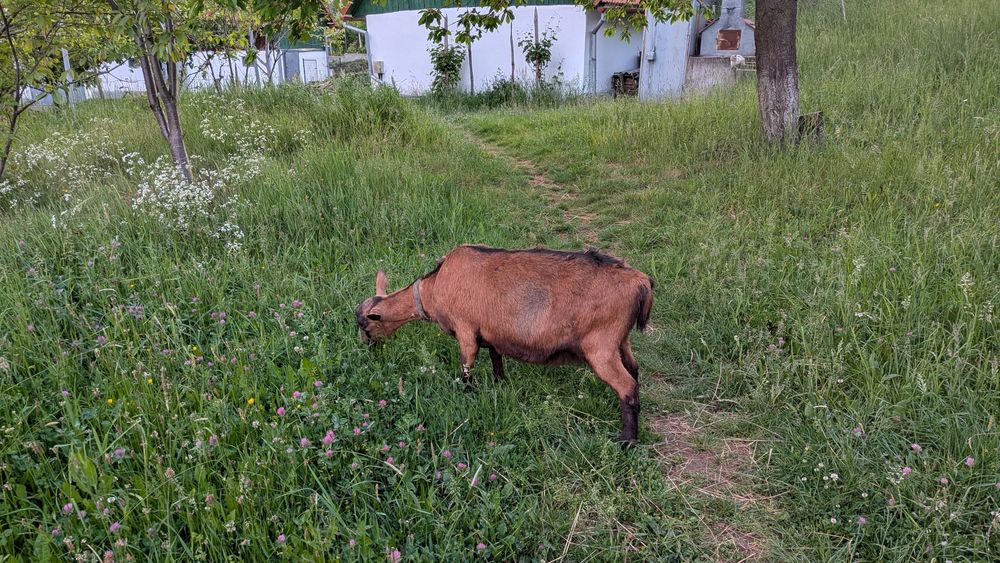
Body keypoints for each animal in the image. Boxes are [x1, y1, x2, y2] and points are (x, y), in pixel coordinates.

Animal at [355, 245, 654, 444]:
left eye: (364, 325)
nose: (368, 349)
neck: (435, 287)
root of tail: (640, 282)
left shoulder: (466, 329)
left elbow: (466, 367)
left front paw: (468, 394)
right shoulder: (490, 333)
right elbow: (496, 359)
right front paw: (500, 384)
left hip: (600, 346)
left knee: (627, 387)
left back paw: (627, 442)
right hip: (620, 341)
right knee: (634, 371)